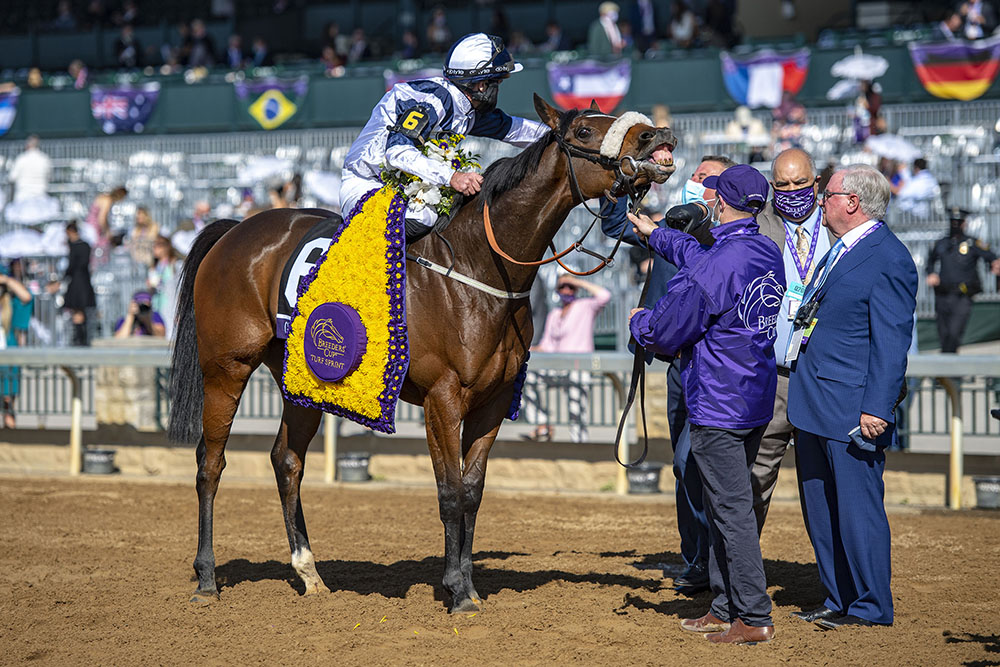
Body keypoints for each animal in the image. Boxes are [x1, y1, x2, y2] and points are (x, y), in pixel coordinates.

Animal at [168, 96, 676, 612]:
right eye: (586, 132)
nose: (657, 136)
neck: (477, 268)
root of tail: (234, 229)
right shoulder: (442, 397)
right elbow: (449, 491)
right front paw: (457, 591)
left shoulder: (492, 402)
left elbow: (472, 491)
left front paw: (468, 583)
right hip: (226, 367)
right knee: (210, 463)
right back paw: (206, 577)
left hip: (303, 376)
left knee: (287, 460)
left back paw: (310, 573)